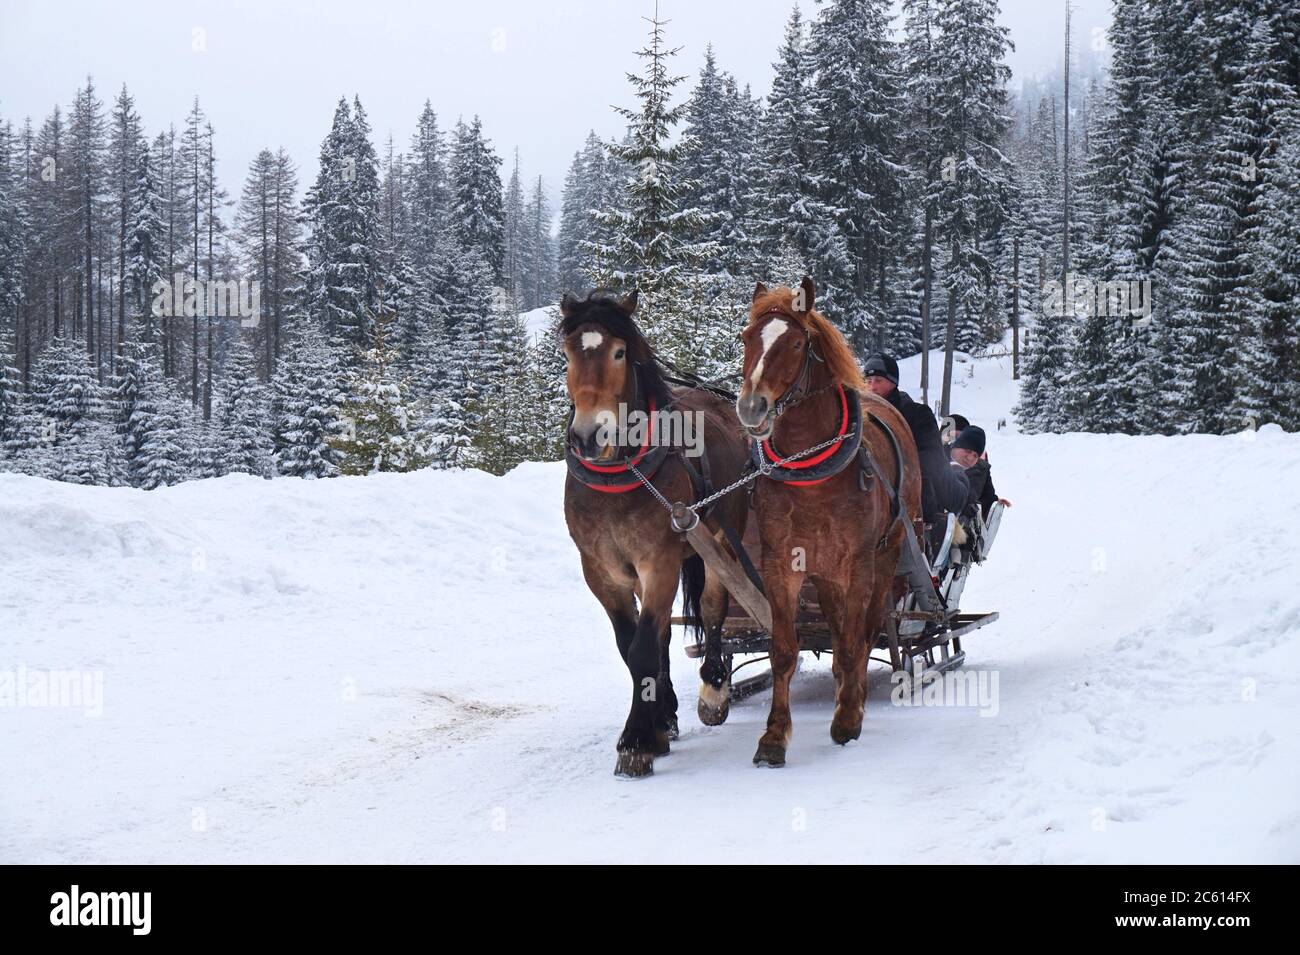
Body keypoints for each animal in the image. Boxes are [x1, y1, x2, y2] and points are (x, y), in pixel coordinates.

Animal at [561, 289, 752, 778]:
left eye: (619, 352)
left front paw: (636, 741)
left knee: (713, 608)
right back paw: (666, 712)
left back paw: (713, 689)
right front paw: (656, 725)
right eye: (568, 353)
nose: (588, 436)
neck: (619, 476)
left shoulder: (659, 561)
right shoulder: (602, 573)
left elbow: (644, 647)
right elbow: (632, 646)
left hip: (720, 542)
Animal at [735, 277, 922, 767]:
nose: (751, 408)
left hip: (886, 554)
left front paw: (848, 718)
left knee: (866, 629)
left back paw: (852, 699)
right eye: (746, 338)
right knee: (839, 631)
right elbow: (784, 650)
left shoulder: (858, 563)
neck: (811, 470)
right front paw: (774, 737)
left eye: (797, 343)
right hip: (825, 572)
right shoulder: (782, 564)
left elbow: (856, 640)